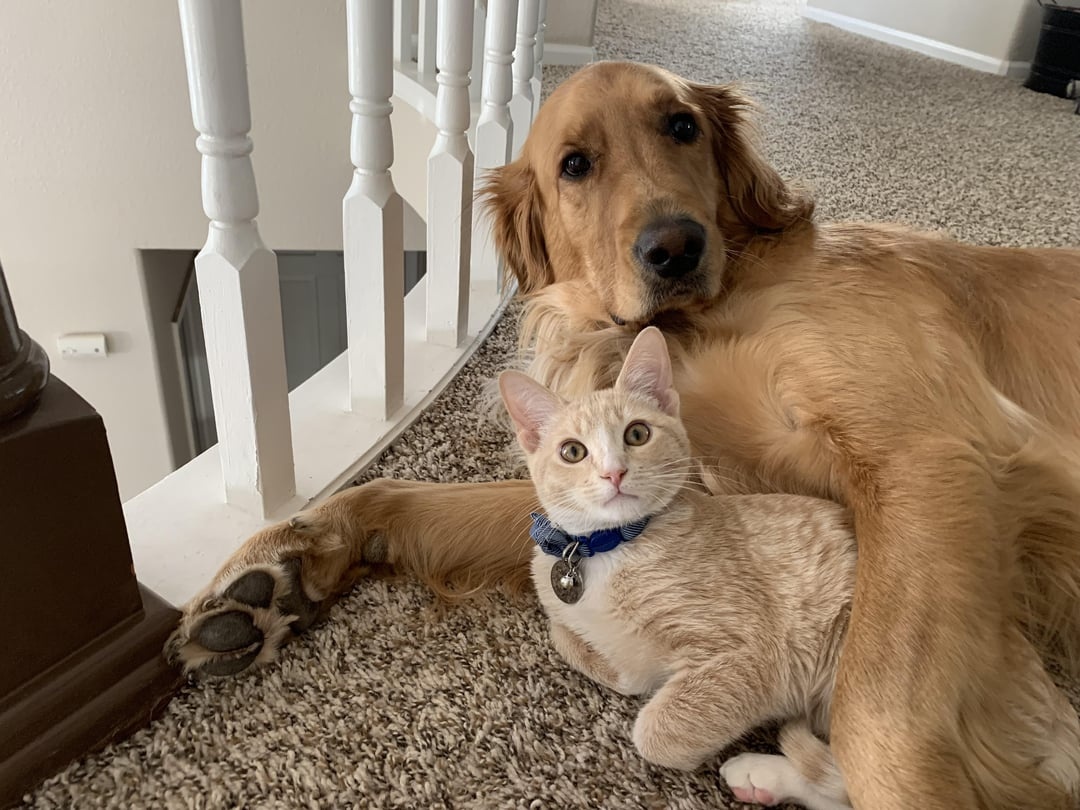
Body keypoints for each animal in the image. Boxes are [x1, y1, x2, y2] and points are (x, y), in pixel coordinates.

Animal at [496, 326, 1080, 810]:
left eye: (637, 434)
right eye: (573, 451)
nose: (614, 473)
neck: (606, 551)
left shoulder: (749, 654)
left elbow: (656, 731)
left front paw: (668, 731)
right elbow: (579, 647)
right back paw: (763, 777)